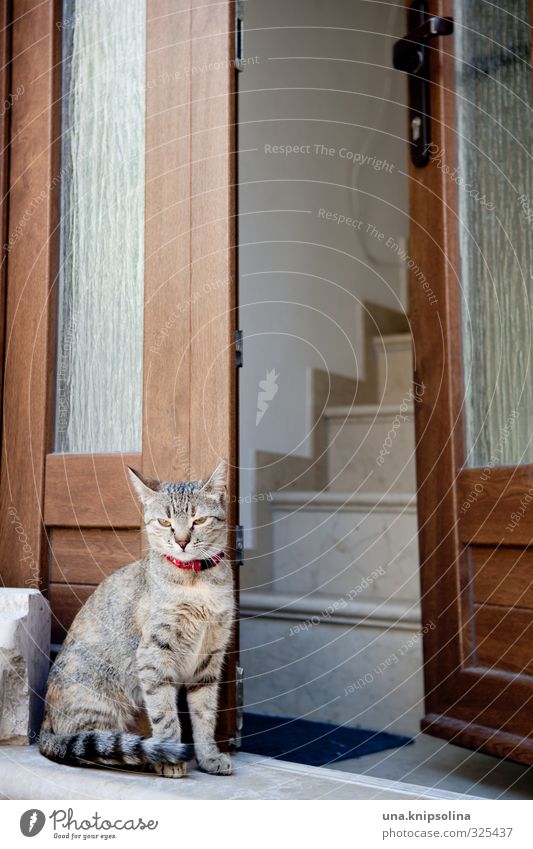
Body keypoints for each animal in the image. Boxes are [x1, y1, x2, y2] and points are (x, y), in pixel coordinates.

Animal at [38, 460, 234, 780]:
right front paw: (171, 757)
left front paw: (209, 757)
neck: (196, 582)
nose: (182, 541)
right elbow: (165, 716)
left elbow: (205, 715)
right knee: (97, 747)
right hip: (97, 700)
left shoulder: (208, 659)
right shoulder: (154, 655)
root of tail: (47, 721)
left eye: (199, 520)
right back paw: (147, 757)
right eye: (165, 522)